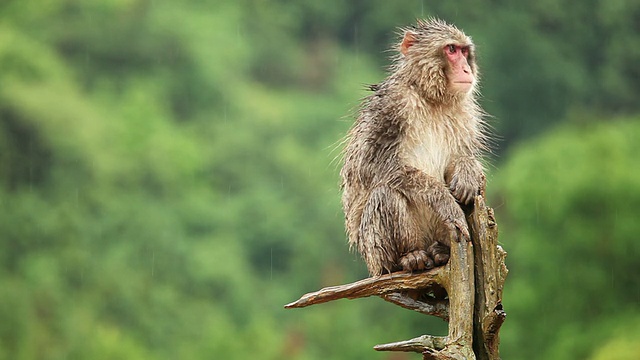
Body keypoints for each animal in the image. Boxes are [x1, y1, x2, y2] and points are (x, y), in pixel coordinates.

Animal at [340, 19, 484, 276]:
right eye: (451, 50)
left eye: (465, 51)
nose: (466, 69)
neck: (431, 97)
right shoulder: (389, 106)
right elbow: (371, 167)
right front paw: (444, 201)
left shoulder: (466, 111)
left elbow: (462, 156)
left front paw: (467, 172)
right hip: (374, 251)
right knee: (385, 192)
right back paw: (409, 257)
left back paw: (441, 252)